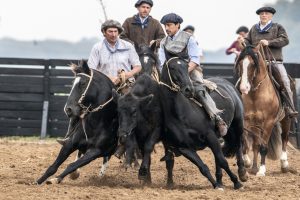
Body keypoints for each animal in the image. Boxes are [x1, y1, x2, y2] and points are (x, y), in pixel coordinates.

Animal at [157, 51, 246, 189]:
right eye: (172, 67)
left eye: (186, 66)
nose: (188, 89)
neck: (181, 114)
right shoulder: (185, 148)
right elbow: (203, 167)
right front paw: (216, 185)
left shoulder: (210, 136)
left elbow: (223, 161)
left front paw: (237, 183)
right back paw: (220, 180)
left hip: (238, 124)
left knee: (238, 144)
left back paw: (242, 172)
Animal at [236, 44, 292, 176]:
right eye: (240, 63)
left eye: (252, 64)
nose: (244, 88)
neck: (257, 95)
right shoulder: (247, 120)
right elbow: (246, 142)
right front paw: (247, 162)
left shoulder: (269, 122)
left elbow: (263, 146)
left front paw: (261, 170)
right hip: (257, 125)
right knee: (256, 144)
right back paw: (254, 168)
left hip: (286, 119)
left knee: (284, 137)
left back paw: (284, 164)